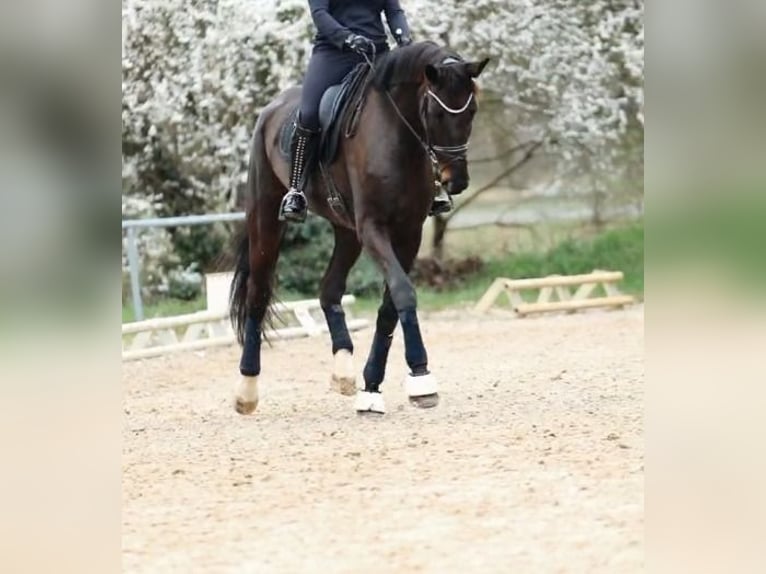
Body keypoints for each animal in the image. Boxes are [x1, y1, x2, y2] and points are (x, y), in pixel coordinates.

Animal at [228, 41, 489, 415]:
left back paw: (344, 371)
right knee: (258, 293)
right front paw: (421, 376)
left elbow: (390, 305)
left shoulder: (409, 233)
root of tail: (271, 110)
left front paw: (373, 386)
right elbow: (403, 291)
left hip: (347, 231)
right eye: (437, 114)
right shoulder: (373, 229)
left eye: (472, 112)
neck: (398, 135)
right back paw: (247, 390)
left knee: (329, 290)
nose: (457, 182)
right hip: (267, 218)